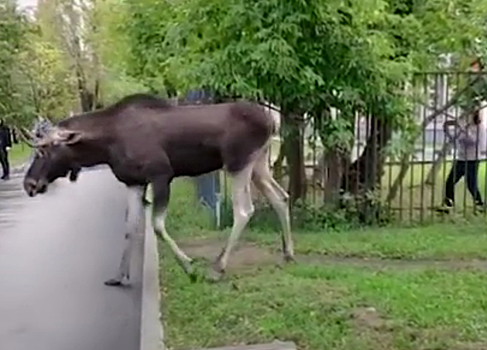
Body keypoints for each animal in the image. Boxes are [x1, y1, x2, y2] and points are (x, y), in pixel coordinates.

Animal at [21, 93, 298, 284]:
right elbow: (130, 228)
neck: (106, 147)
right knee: (281, 197)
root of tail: (272, 122)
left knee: (244, 210)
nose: (29, 184)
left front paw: (189, 266)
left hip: (238, 163)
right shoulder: (134, 182)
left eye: (44, 150)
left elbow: (156, 225)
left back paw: (217, 268)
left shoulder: (161, 175)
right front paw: (119, 275)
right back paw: (288, 253)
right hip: (259, 163)